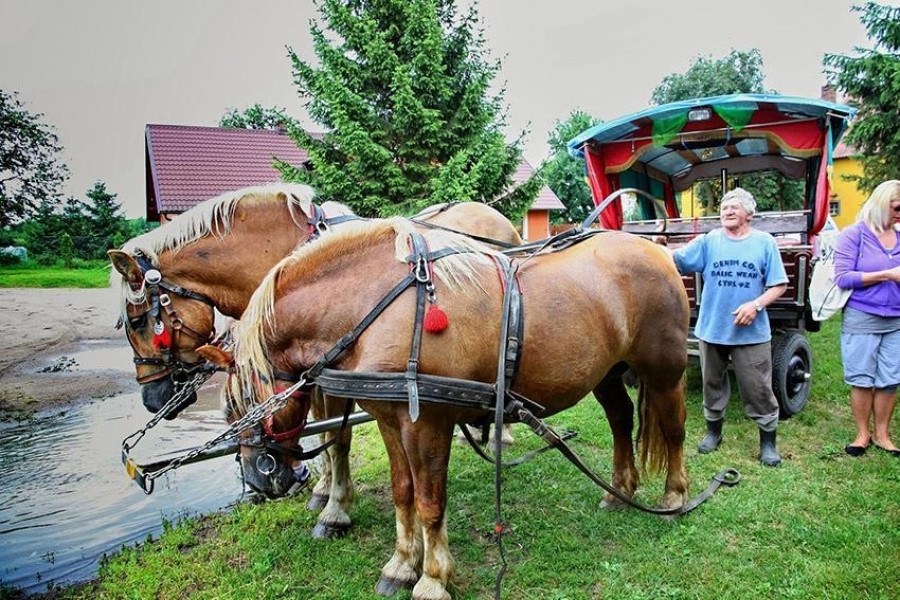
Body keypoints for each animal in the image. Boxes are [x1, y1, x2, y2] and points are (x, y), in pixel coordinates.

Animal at [109, 186, 524, 536]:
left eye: (137, 321)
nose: (153, 400)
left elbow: (336, 439)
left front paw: (334, 509)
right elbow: (321, 432)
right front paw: (322, 491)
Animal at [213, 218, 688, 596]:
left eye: (238, 403)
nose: (259, 478)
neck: (379, 304)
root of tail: (658, 250)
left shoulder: (427, 424)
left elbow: (429, 501)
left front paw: (433, 578)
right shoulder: (389, 421)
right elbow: (403, 492)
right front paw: (401, 564)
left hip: (664, 371)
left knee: (674, 427)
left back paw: (674, 497)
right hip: (608, 373)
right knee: (620, 418)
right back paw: (620, 490)